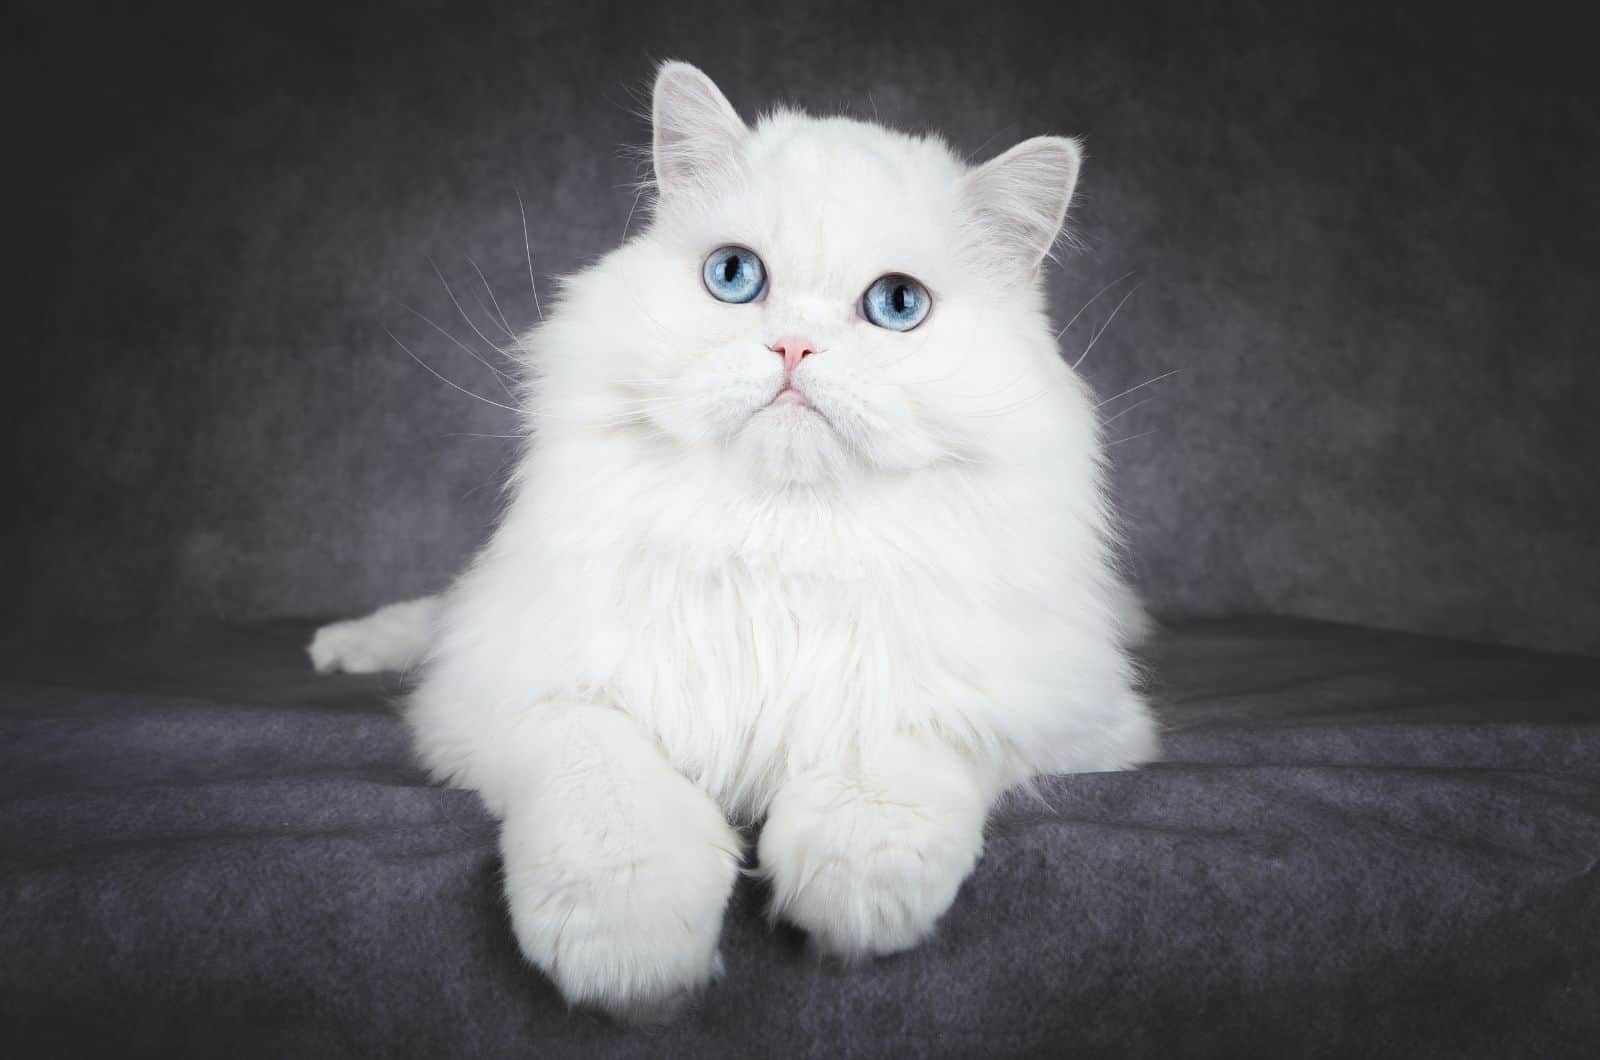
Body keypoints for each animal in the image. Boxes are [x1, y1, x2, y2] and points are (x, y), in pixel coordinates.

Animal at [305, 64, 1158, 1024]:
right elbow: (604, 785)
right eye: (735, 276)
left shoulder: (1065, 716)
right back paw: (341, 647)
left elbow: (904, 740)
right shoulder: (510, 694)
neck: (777, 540)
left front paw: (855, 887)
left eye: (897, 304)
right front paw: (629, 955)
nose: (793, 346)